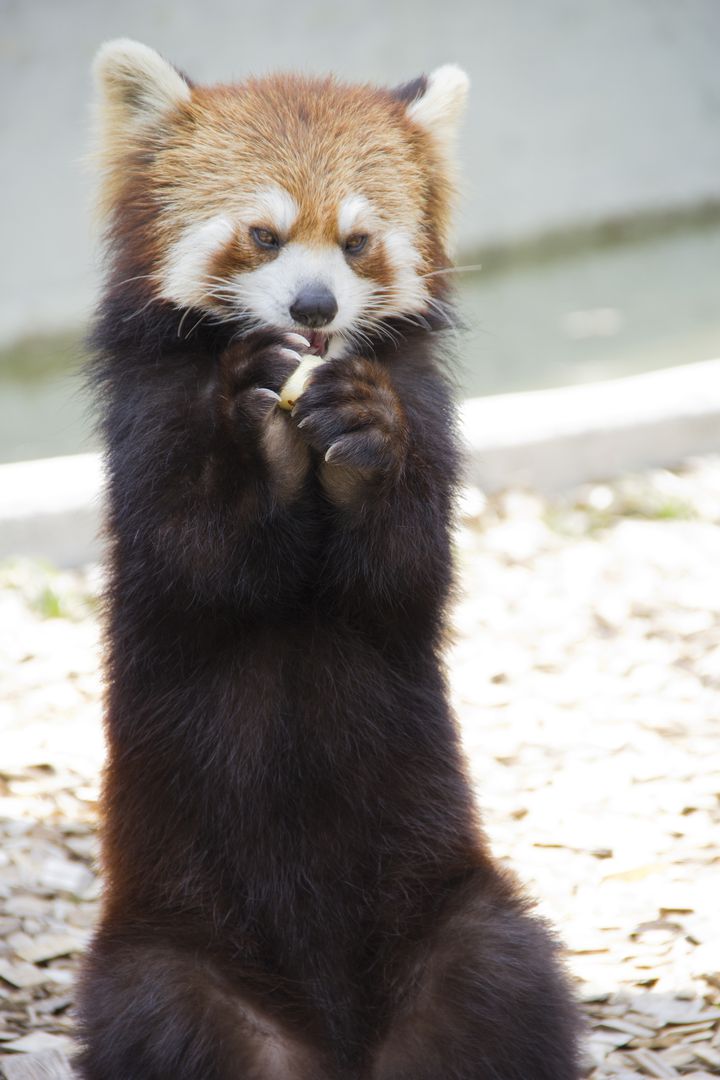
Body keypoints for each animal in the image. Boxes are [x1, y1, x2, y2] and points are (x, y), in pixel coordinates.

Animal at [76, 39, 578, 1080]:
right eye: (264, 237)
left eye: (356, 243)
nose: (314, 307)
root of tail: (338, 1038)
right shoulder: (145, 422)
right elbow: (193, 564)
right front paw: (262, 435)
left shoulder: (426, 411)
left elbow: (400, 571)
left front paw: (358, 428)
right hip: (171, 945)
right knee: (178, 1020)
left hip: (453, 910)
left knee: (498, 980)